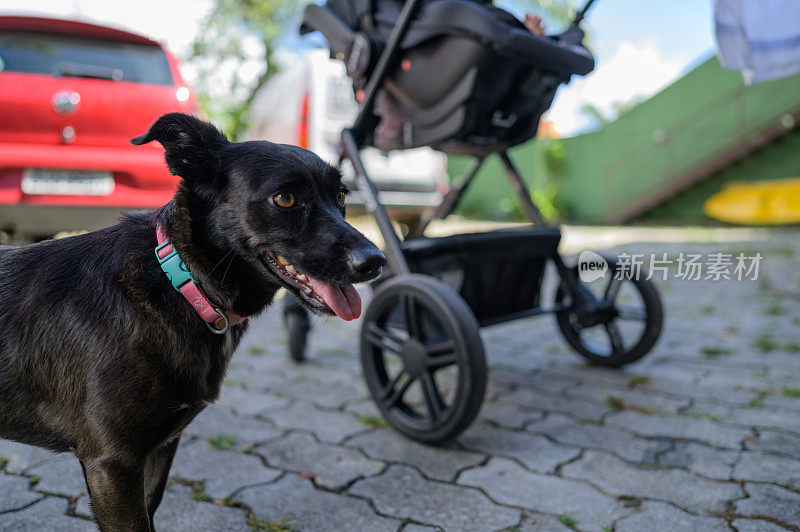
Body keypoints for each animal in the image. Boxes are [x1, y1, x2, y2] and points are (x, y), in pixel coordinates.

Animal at [0, 113, 384, 532]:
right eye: (285, 198)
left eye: (342, 196)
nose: (376, 261)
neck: (182, 284)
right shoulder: (112, 463)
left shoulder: (161, 446)